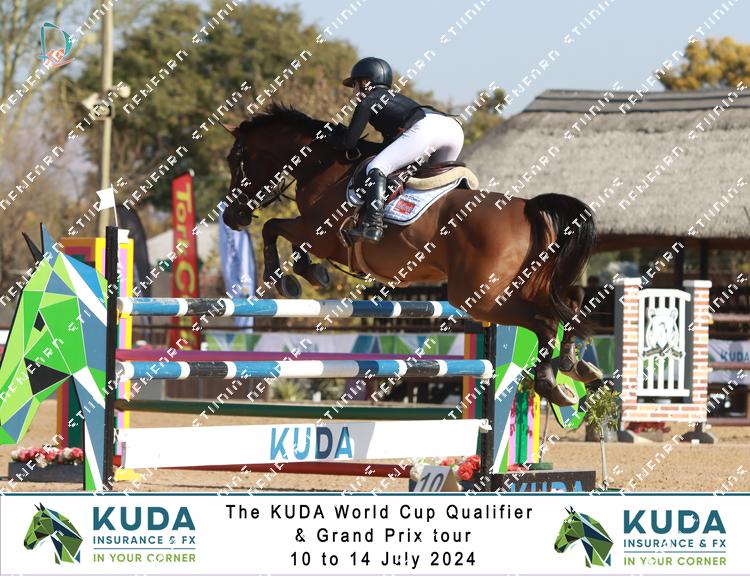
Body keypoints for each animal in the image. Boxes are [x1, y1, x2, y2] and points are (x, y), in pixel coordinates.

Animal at [221, 104, 601, 407]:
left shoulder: (320, 234)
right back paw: (577, 366)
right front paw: (310, 273)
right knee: (572, 302)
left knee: (546, 320)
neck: (320, 165)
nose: (231, 218)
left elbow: (273, 228)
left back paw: (552, 383)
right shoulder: (316, 236)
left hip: (479, 297)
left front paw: (286, 278)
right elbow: (283, 236)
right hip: (523, 285)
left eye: (237, 160)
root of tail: (528, 208)